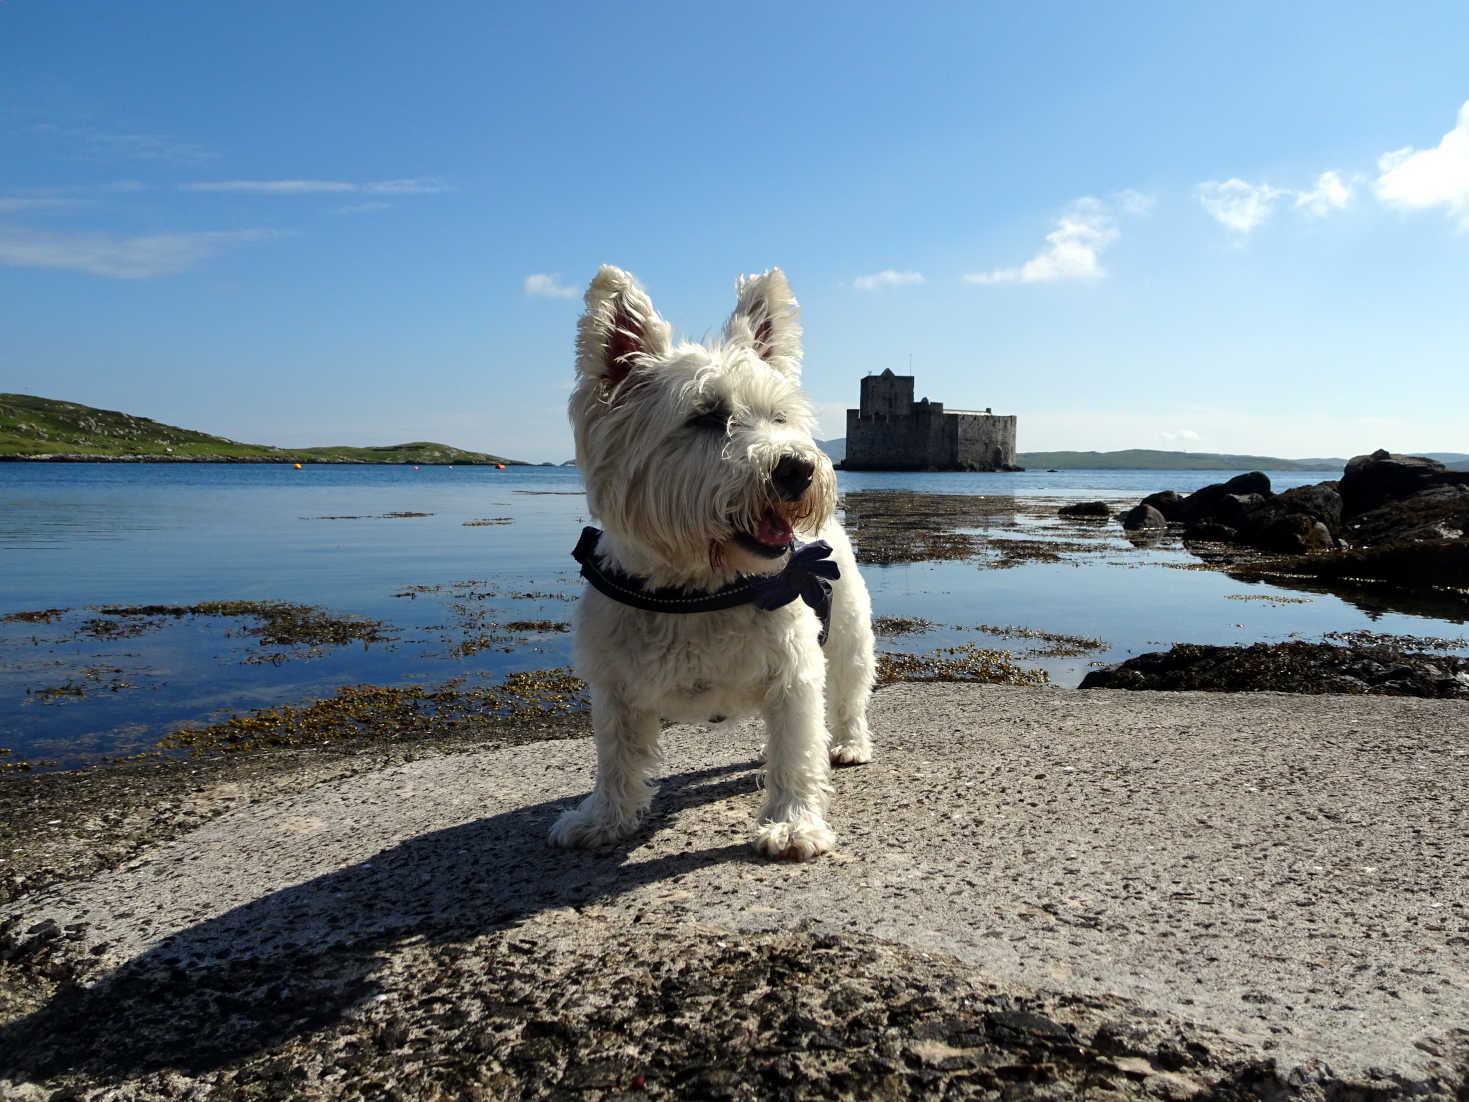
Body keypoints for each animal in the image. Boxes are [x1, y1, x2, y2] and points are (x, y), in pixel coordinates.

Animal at [549, 265, 869, 863]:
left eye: (780, 416)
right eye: (706, 416)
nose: (798, 468)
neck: (698, 587)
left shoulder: (795, 674)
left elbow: (796, 751)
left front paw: (792, 824)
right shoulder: (614, 686)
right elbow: (615, 756)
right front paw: (602, 818)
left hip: (849, 636)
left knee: (848, 696)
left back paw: (850, 745)